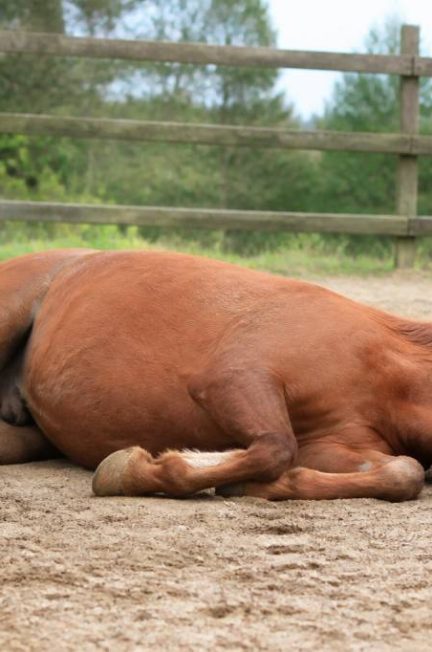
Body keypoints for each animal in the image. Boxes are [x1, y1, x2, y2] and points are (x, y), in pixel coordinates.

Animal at [0, 248, 429, 502]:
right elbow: (276, 448)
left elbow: (404, 473)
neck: (377, 371)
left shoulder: (328, 445)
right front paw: (130, 471)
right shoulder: (232, 379)